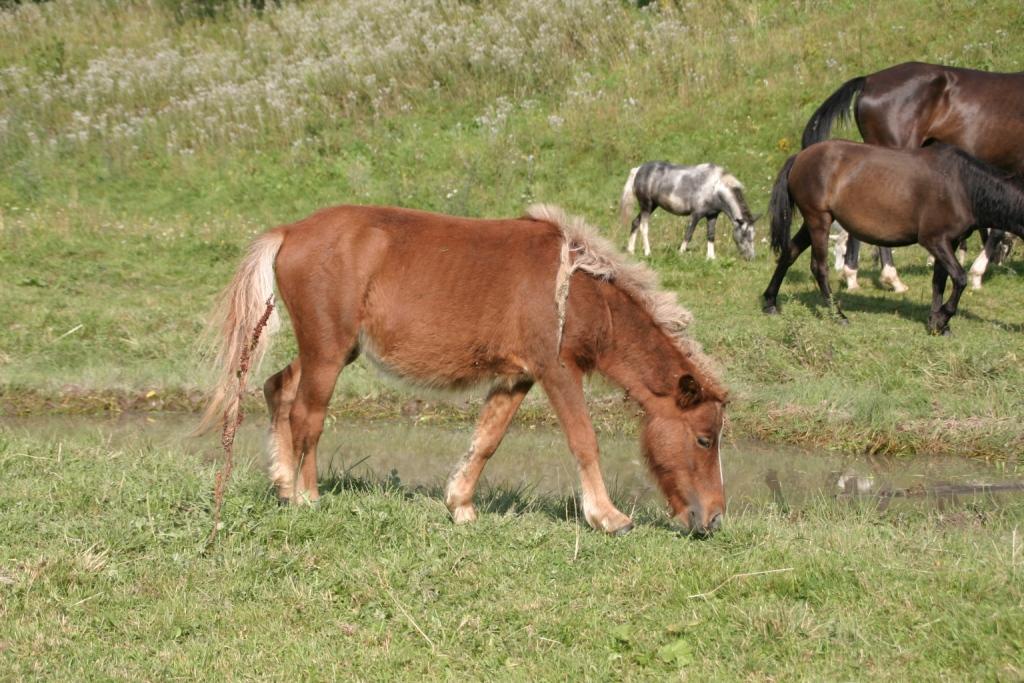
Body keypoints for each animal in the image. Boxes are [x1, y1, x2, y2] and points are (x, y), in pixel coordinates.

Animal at [197, 205, 729, 536]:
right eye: (705, 439)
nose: (714, 519)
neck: (579, 292)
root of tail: (290, 231)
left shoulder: (516, 377)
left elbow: (486, 440)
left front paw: (461, 506)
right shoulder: (557, 371)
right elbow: (583, 441)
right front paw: (608, 518)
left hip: (333, 350)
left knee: (279, 388)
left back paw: (284, 485)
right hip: (328, 353)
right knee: (307, 416)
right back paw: (307, 497)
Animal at [614, 161, 761, 260]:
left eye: (753, 235)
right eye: (745, 234)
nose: (751, 257)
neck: (715, 188)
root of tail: (638, 169)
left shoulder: (712, 216)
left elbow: (711, 235)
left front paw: (711, 258)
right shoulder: (696, 215)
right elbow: (688, 234)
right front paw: (681, 253)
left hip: (652, 206)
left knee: (635, 222)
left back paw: (631, 250)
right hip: (646, 206)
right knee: (644, 227)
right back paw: (647, 252)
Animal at [765, 143, 1024, 335]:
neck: (963, 186)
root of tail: (800, 157)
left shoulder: (947, 242)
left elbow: (939, 282)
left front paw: (936, 322)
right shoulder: (934, 240)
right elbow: (959, 278)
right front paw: (942, 319)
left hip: (812, 223)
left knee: (789, 253)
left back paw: (769, 302)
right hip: (818, 220)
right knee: (818, 267)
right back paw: (838, 315)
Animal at [798, 60, 1024, 290]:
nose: (1001, 260)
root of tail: (869, 80)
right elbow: (997, 228)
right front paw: (977, 274)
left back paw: (853, 275)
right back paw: (891, 277)